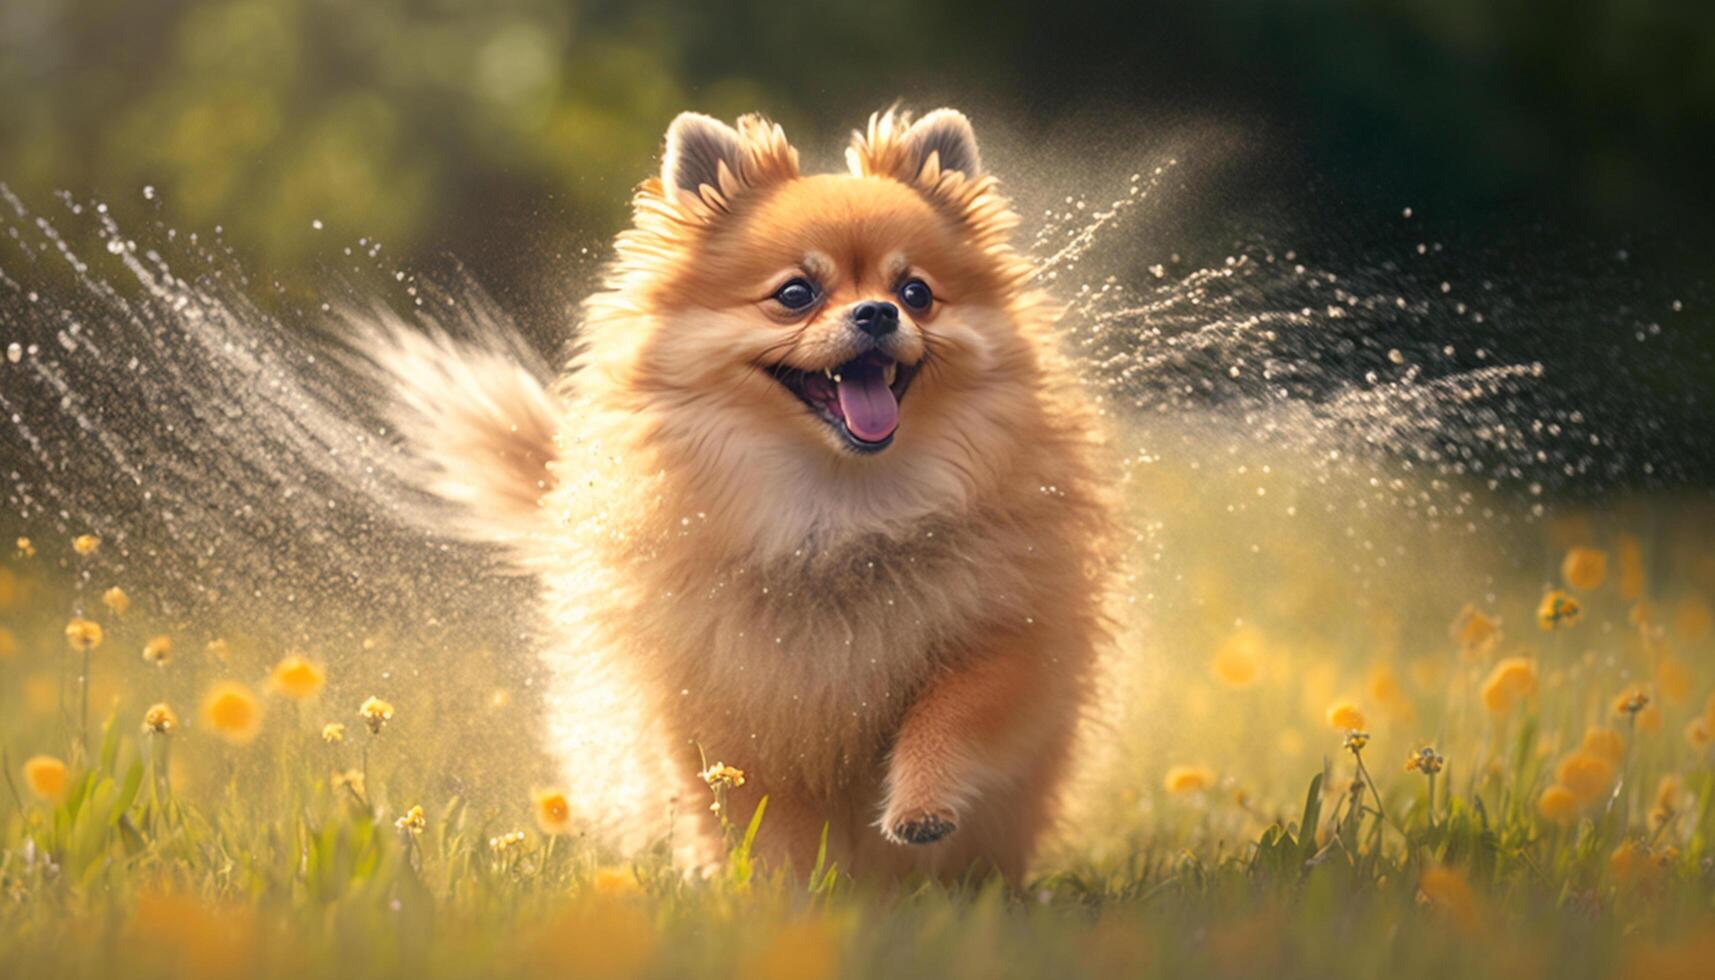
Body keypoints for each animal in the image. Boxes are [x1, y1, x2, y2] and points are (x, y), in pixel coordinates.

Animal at [361, 107, 1111, 878]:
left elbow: (954, 714)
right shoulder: (724, 700)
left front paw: (919, 807)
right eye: (795, 294)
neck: (835, 507)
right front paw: (780, 892)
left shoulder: (1010, 635)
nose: (878, 312)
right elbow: (764, 818)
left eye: (917, 293)